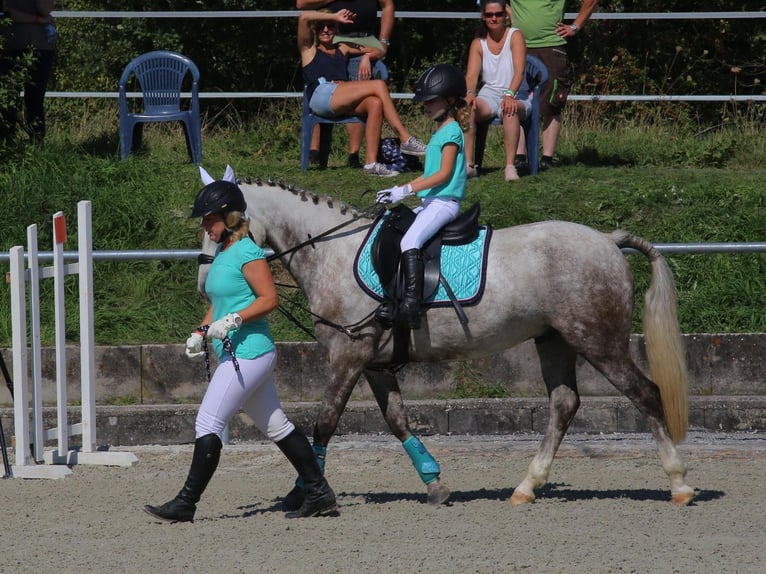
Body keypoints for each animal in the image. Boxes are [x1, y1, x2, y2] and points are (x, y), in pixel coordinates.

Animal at [198, 176, 695, 507]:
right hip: (554, 340)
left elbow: (324, 422)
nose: (205, 284)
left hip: (598, 341)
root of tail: (609, 241)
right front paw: (434, 483)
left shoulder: (348, 354)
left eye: (217, 229)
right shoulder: (373, 362)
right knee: (564, 403)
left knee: (645, 393)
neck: (334, 252)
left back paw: (679, 484)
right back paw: (526, 487)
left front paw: (305, 491)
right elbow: (396, 419)